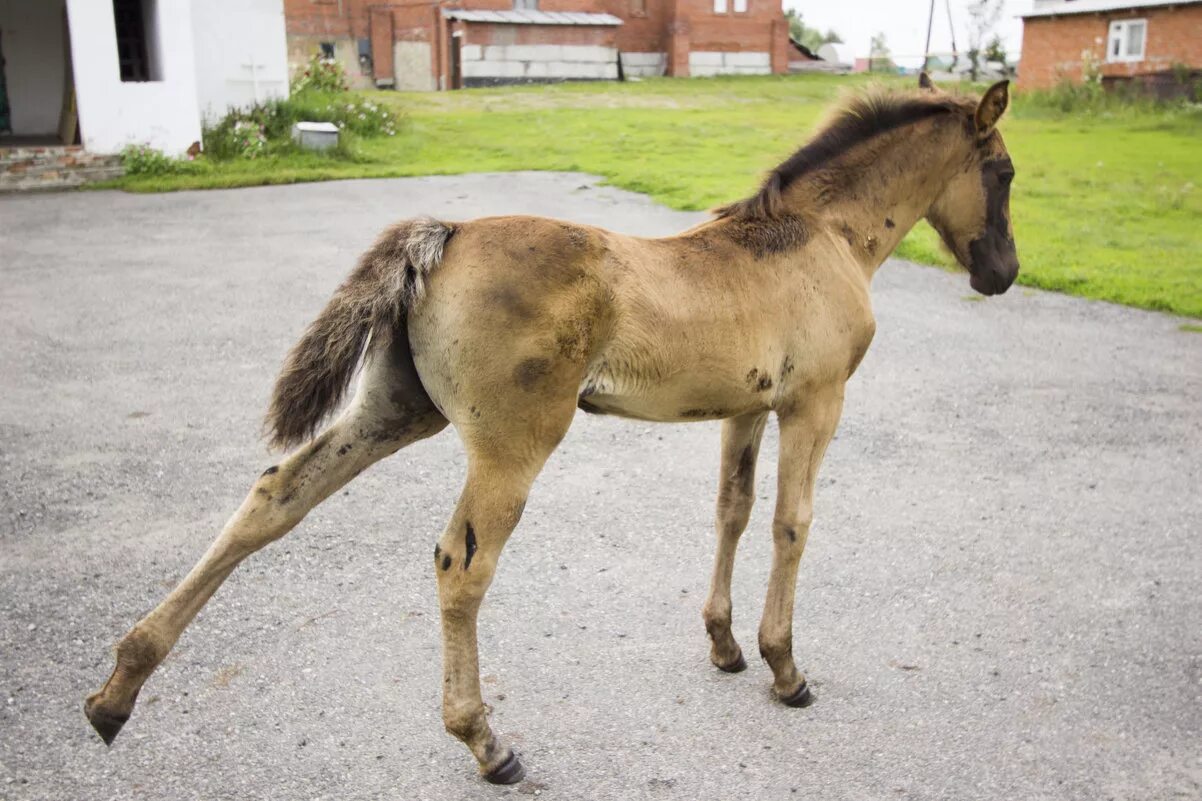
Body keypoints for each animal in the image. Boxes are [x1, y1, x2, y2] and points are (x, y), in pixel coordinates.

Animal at [88, 76, 1019, 779]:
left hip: (396, 408)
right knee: (461, 565)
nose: (1004, 274)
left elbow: (733, 510)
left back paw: (116, 690)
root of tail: (445, 233)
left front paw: (723, 645)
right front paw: (784, 667)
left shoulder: (746, 407)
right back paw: (486, 742)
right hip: (514, 441)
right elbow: (793, 522)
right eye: (1004, 172)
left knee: (273, 498)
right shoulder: (815, 401)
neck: (819, 235)